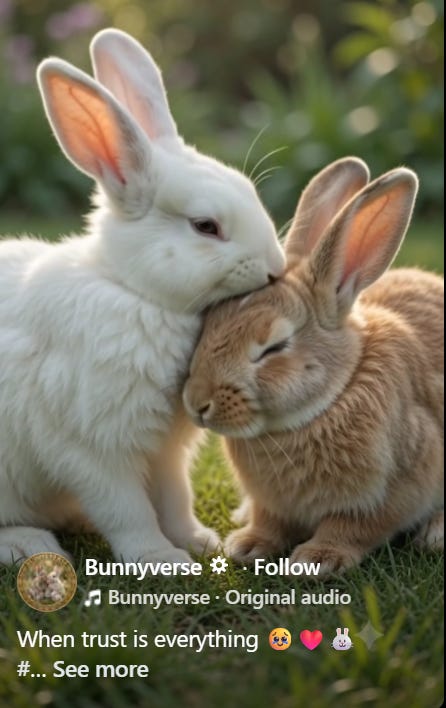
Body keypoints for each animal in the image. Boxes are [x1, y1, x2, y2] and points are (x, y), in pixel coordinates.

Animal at [0, 29, 285, 566]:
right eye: (205, 226)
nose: (275, 269)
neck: (136, 294)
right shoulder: (91, 447)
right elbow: (125, 509)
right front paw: (162, 560)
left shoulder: (166, 450)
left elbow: (174, 497)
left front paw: (198, 541)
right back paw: (27, 543)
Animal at [183, 157, 444, 577]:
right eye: (210, 322)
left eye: (274, 347)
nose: (196, 404)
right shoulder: (272, 504)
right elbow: (269, 521)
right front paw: (248, 546)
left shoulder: (391, 490)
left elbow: (352, 526)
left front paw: (318, 559)